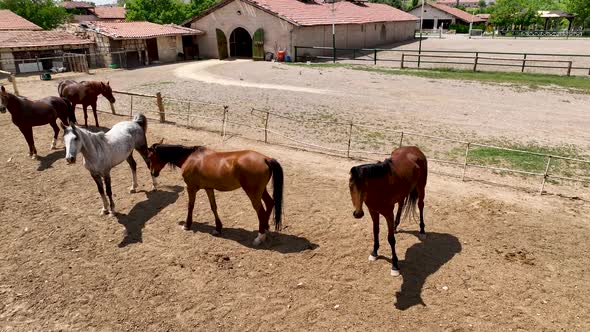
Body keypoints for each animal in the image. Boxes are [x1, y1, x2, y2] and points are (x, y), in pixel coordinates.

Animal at [149, 143, 286, 246]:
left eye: (150, 157)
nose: (153, 173)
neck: (190, 158)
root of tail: (265, 158)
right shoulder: (209, 188)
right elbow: (213, 207)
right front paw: (218, 228)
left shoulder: (191, 188)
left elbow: (190, 206)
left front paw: (187, 225)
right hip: (261, 191)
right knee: (270, 203)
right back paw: (266, 227)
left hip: (253, 193)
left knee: (260, 211)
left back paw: (260, 236)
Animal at [350, 147, 428, 276]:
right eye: (351, 186)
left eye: (365, 186)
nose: (358, 214)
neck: (380, 187)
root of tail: (415, 149)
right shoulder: (373, 212)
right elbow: (375, 231)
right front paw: (374, 253)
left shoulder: (388, 214)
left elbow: (391, 239)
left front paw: (395, 266)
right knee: (401, 204)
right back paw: (396, 227)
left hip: (421, 187)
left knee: (420, 205)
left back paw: (422, 230)